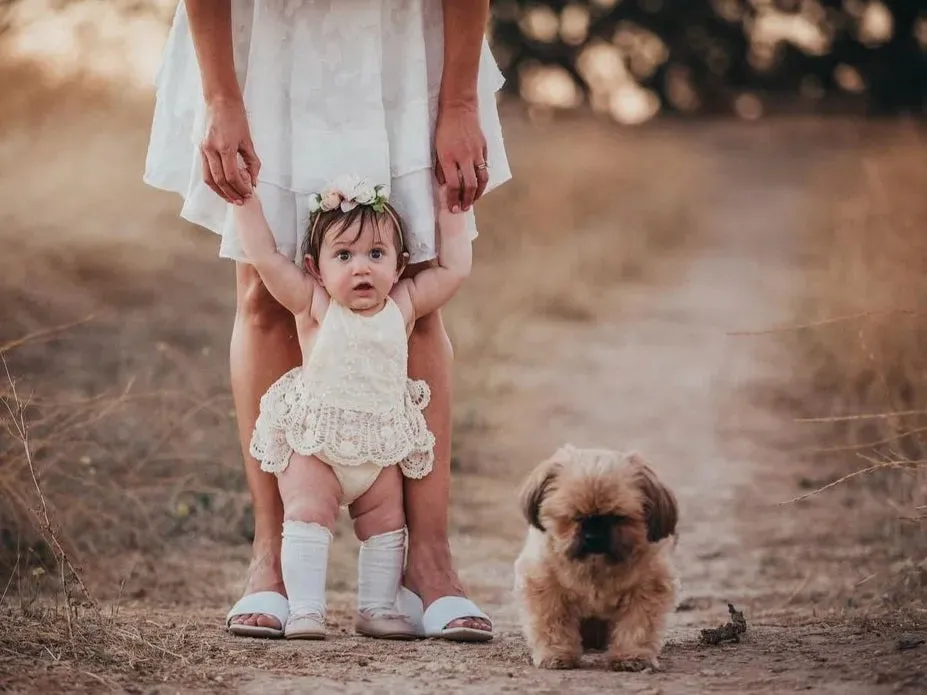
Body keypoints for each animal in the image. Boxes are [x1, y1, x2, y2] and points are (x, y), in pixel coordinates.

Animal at [512, 448, 676, 672]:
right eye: (576, 516)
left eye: (617, 517)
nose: (594, 537)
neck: (595, 568)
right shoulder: (544, 585)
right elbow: (553, 624)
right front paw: (556, 654)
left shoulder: (647, 588)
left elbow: (637, 626)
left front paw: (631, 655)